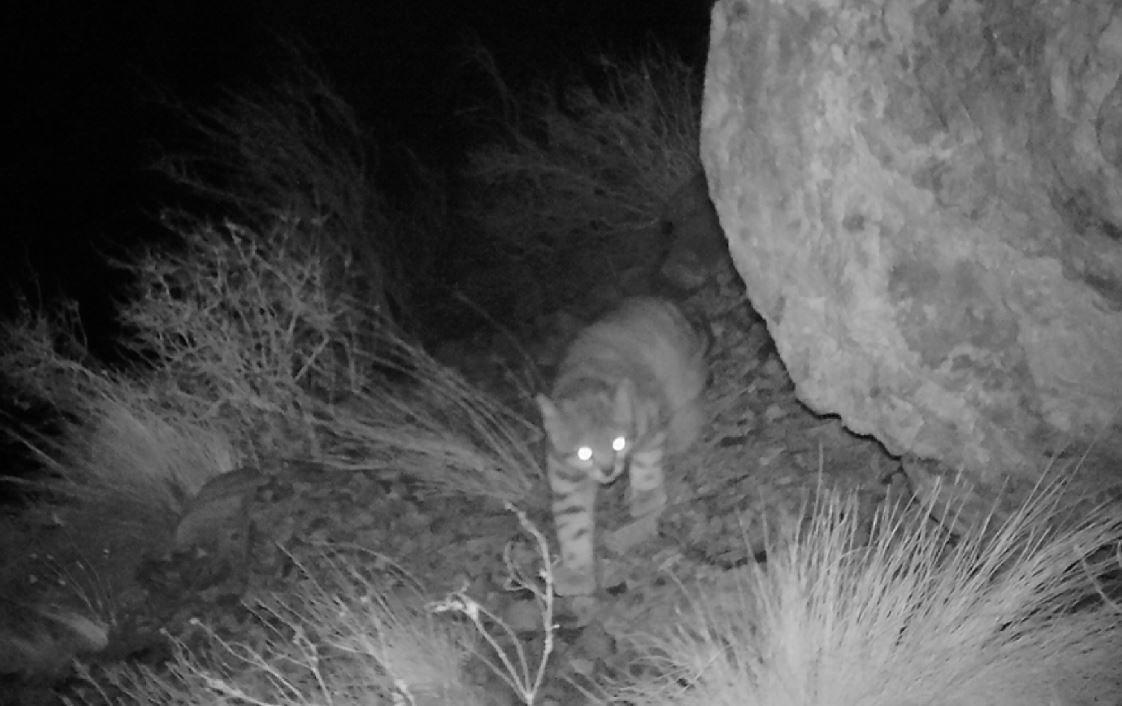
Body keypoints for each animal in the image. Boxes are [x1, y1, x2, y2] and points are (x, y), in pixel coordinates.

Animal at [536, 294, 709, 592]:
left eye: (618, 443)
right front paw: (577, 573)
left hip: (680, 374)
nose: (608, 471)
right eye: (584, 453)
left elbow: (646, 464)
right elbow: (572, 523)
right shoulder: (565, 477)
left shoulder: (650, 423)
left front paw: (646, 497)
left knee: (688, 405)